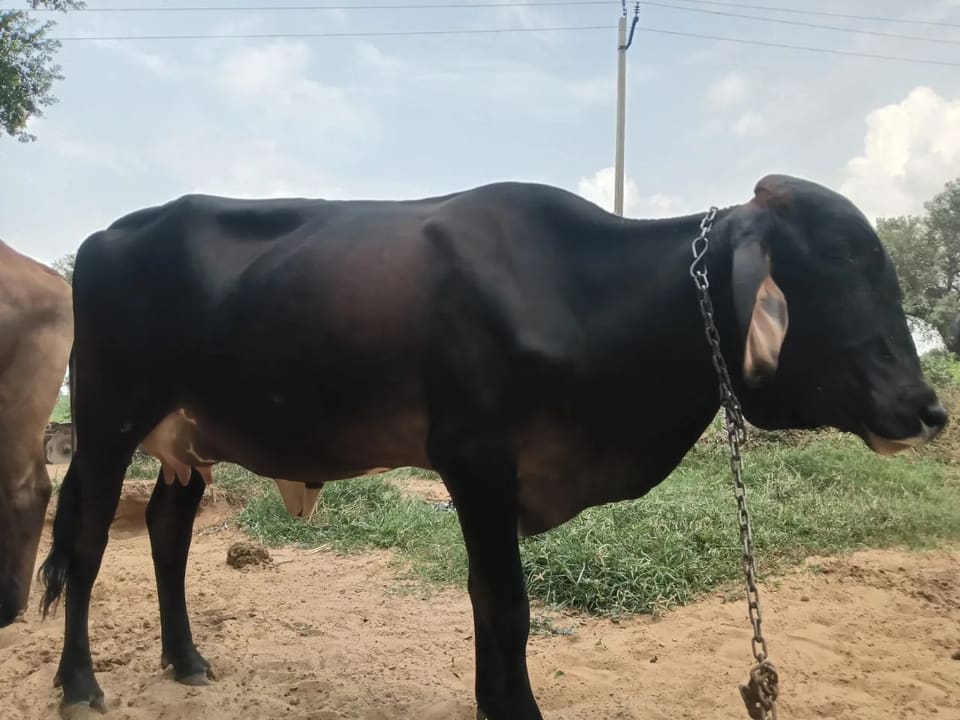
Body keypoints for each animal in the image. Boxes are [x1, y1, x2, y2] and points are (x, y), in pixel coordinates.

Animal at [38, 174, 947, 720]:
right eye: (839, 263)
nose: (927, 407)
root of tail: (105, 236)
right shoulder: (475, 457)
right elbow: (506, 607)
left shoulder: (494, 478)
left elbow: (483, 600)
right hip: (109, 420)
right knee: (86, 542)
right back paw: (80, 681)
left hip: (187, 440)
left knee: (167, 534)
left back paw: (185, 658)